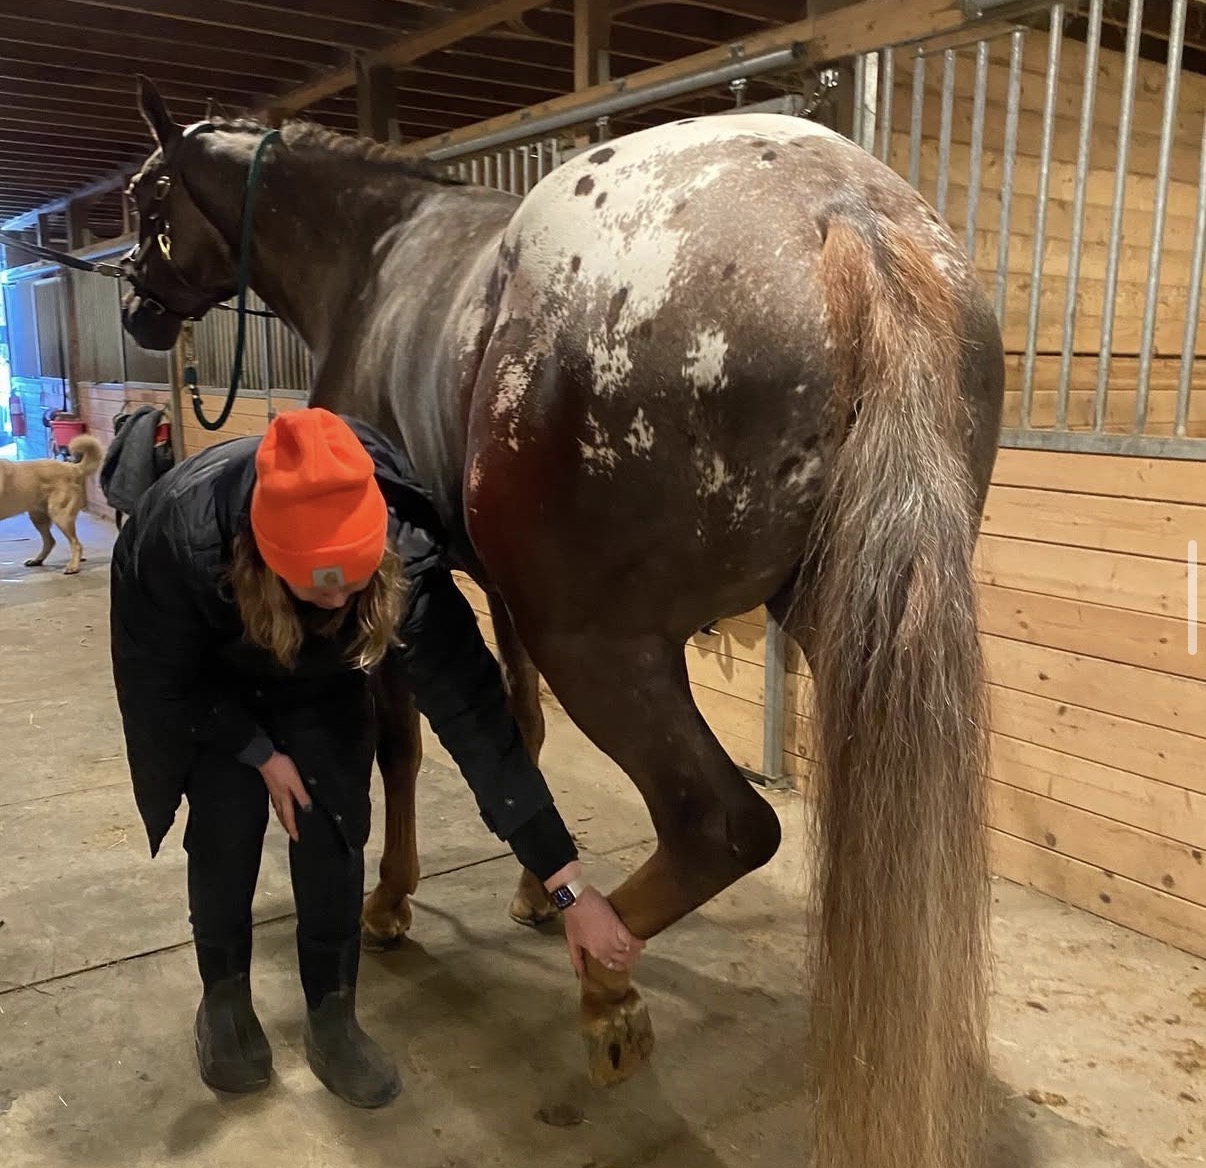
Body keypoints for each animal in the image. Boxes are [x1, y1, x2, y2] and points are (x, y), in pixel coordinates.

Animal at [120, 75, 1005, 1168]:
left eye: (148, 200)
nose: (135, 303)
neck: (376, 257)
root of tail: (847, 215)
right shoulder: (491, 587)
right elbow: (518, 729)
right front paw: (538, 889)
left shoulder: (402, 597)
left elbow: (402, 747)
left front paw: (391, 903)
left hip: (599, 642)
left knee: (723, 825)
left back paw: (606, 984)